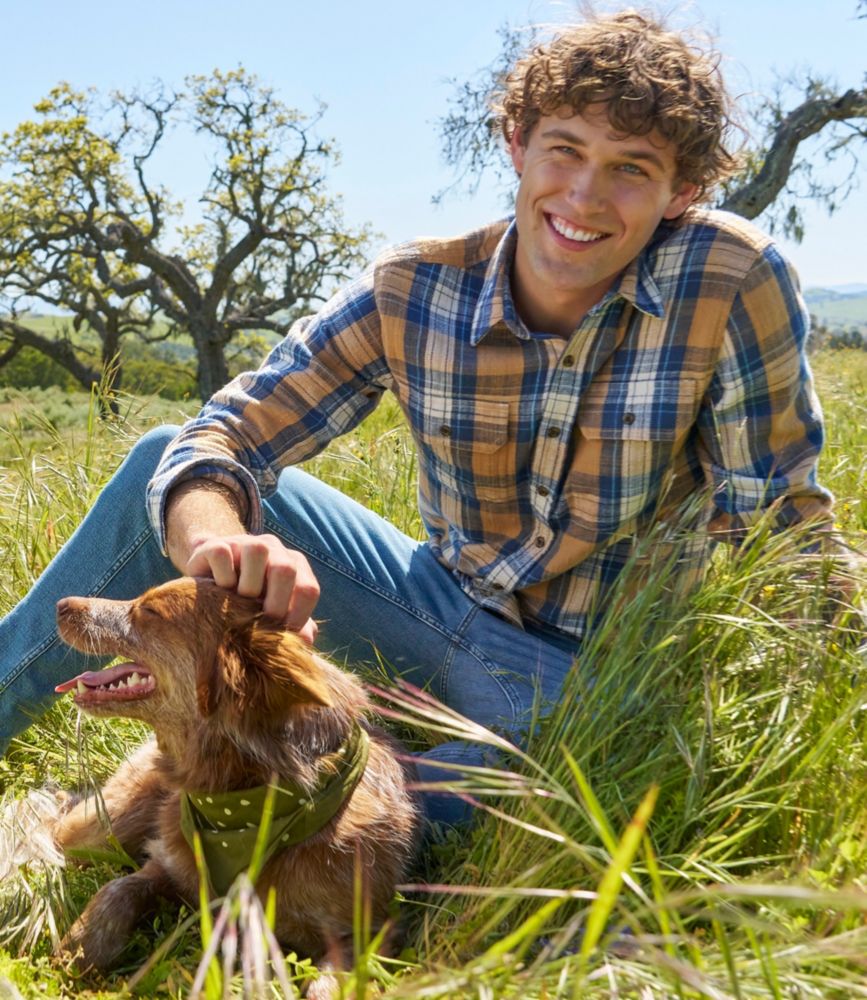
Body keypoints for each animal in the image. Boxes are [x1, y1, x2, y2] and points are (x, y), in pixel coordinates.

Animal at [49, 580, 422, 992]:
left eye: (150, 612)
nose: (60, 604)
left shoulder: (369, 930)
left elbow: (323, 987)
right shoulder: (168, 866)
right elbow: (115, 891)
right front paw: (76, 951)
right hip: (101, 832)